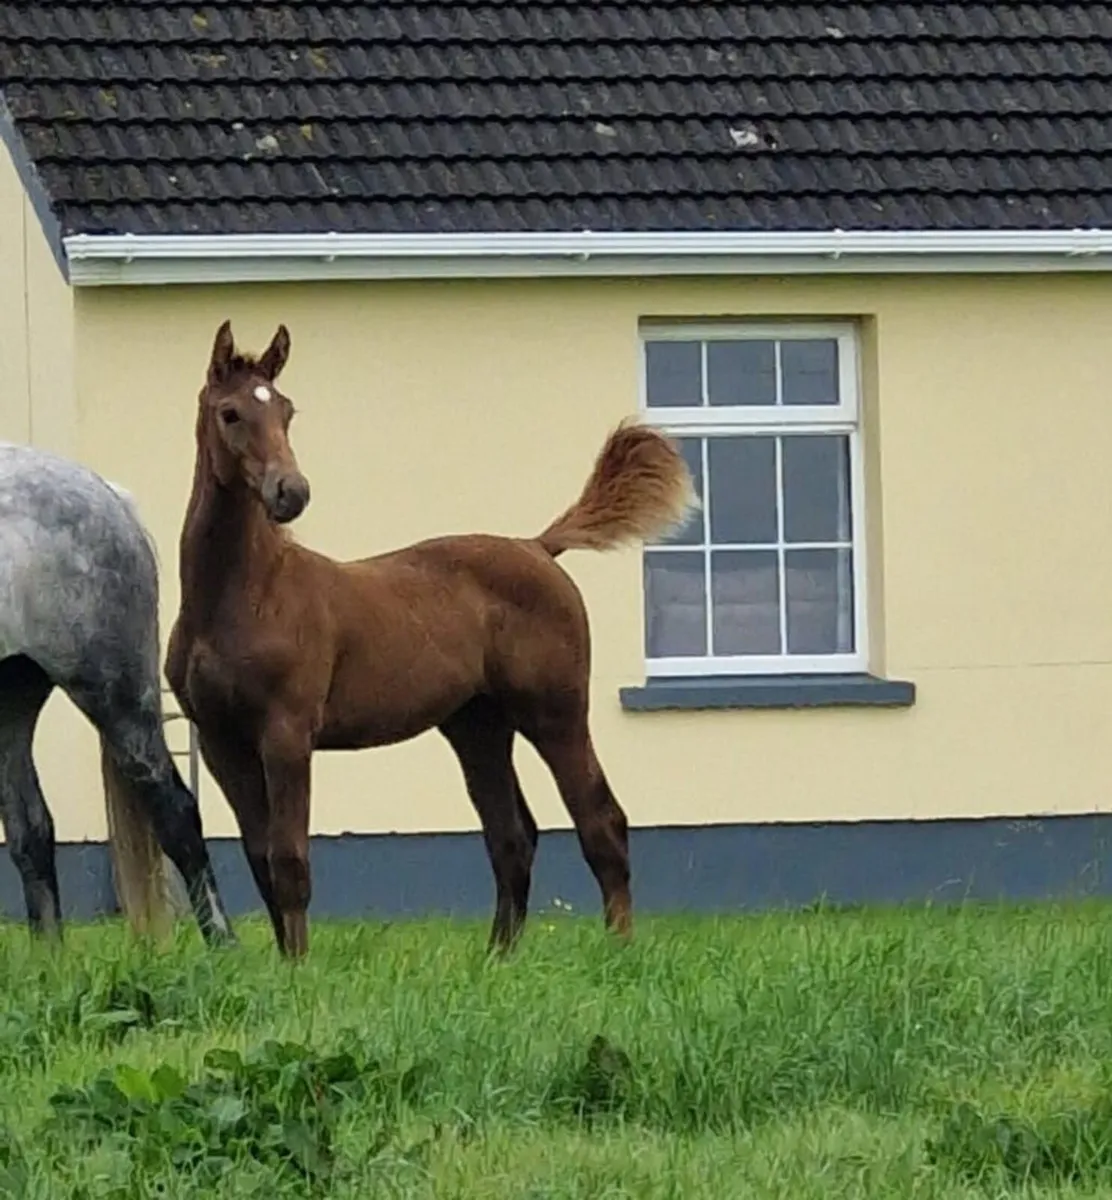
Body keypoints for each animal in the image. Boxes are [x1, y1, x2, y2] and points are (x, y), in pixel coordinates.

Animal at [0, 441, 234, 946]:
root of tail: (109, 496)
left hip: (116, 697)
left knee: (176, 812)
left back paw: (225, 946)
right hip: (12, 703)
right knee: (31, 830)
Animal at [166, 320, 695, 959]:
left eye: (287, 410)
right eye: (231, 413)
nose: (290, 491)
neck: (244, 594)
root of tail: (538, 546)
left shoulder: (287, 733)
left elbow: (290, 860)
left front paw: (300, 970)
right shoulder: (222, 741)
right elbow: (260, 857)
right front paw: (284, 963)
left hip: (555, 714)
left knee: (601, 821)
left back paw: (618, 950)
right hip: (478, 726)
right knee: (512, 837)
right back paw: (498, 960)